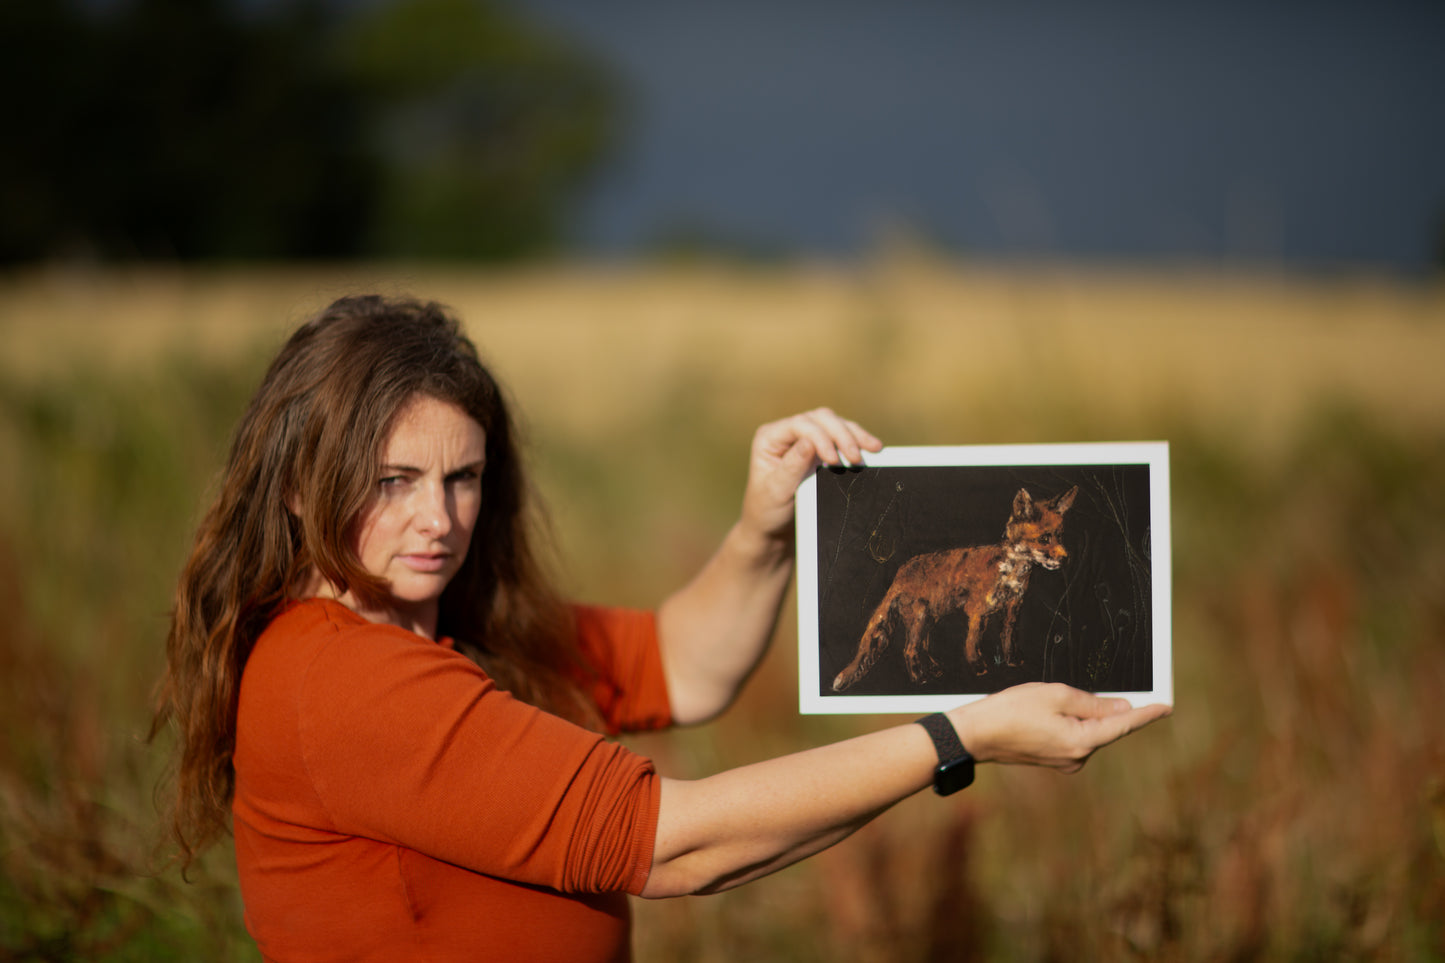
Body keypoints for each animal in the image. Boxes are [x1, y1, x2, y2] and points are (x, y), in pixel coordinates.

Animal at [831, 485, 1078, 692]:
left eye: (1060, 536)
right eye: (1044, 539)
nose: (1066, 559)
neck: (1010, 573)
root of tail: (900, 573)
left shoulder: (1012, 609)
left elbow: (1008, 638)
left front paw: (1013, 661)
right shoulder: (977, 612)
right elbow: (972, 643)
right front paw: (978, 668)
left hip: (929, 620)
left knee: (922, 647)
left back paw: (933, 669)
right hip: (919, 618)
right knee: (909, 649)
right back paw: (919, 677)